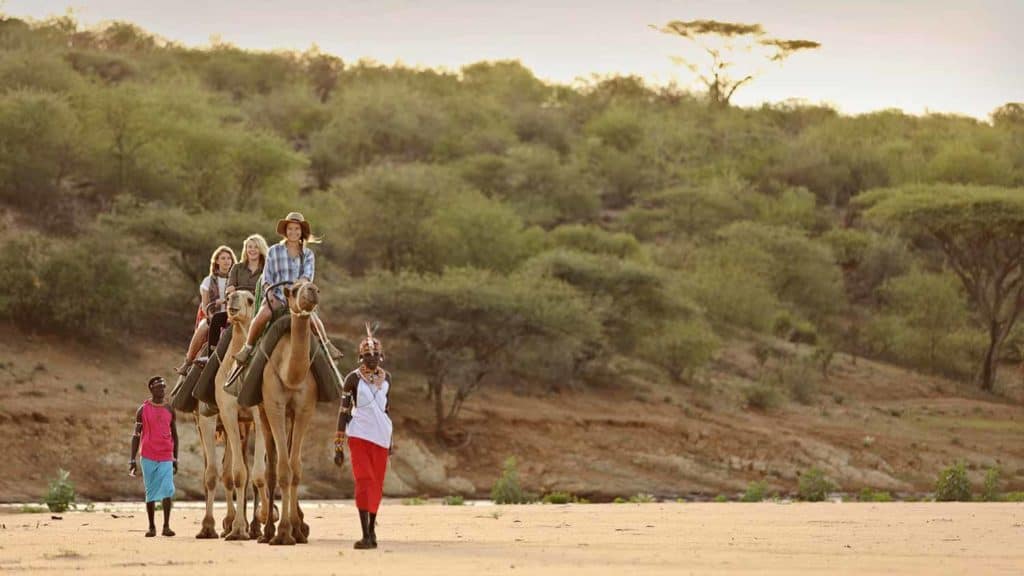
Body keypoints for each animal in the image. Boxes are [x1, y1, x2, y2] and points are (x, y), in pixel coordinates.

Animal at [192, 291, 264, 537]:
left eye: (251, 299)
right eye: (231, 295)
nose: (232, 299)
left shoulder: (256, 414)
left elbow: (255, 473)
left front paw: (246, 526)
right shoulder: (225, 412)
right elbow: (230, 473)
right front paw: (224, 527)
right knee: (219, 471)